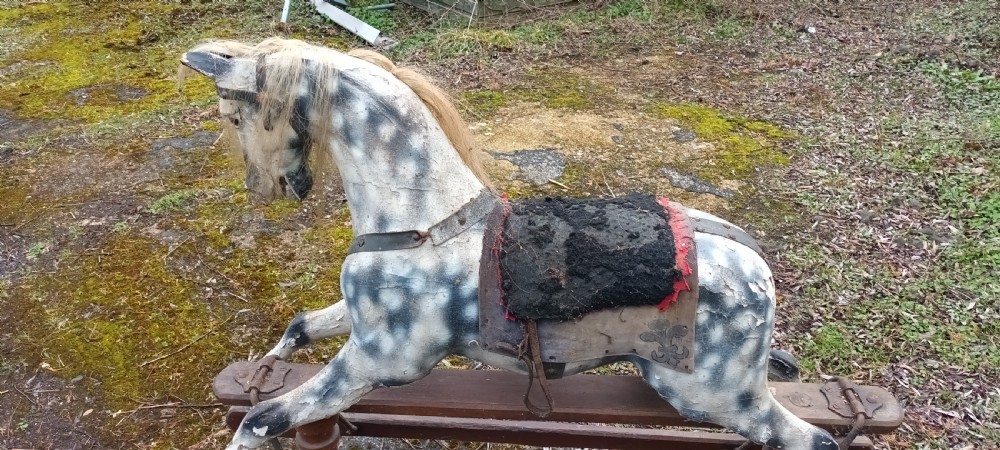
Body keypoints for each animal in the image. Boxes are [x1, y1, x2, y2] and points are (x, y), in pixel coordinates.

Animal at [179, 37, 839, 450]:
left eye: (234, 117)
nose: (266, 188)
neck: (421, 220)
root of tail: (759, 269)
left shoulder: (379, 359)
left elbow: (259, 422)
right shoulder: (359, 322)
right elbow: (296, 328)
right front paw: (265, 366)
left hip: (715, 395)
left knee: (819, 439)